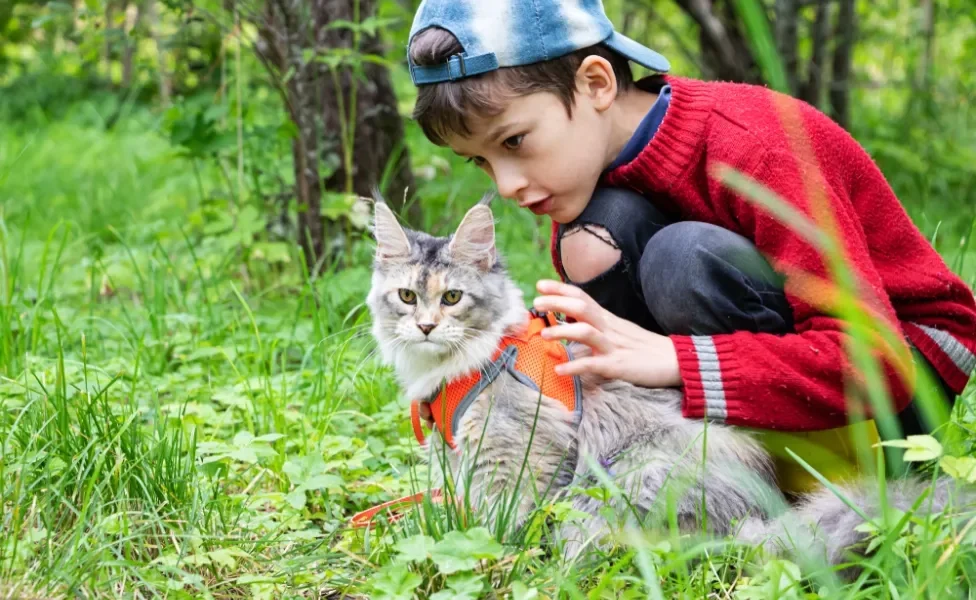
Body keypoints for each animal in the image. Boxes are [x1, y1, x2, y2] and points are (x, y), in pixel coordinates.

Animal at [368, 196, 968, 568]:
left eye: (452, 298)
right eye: (407, 296)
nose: (425, 326)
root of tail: (763, 516)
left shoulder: (521, 451)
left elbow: (506, 519)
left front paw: (498, 553)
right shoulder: (461, 457)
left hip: (613, 485)